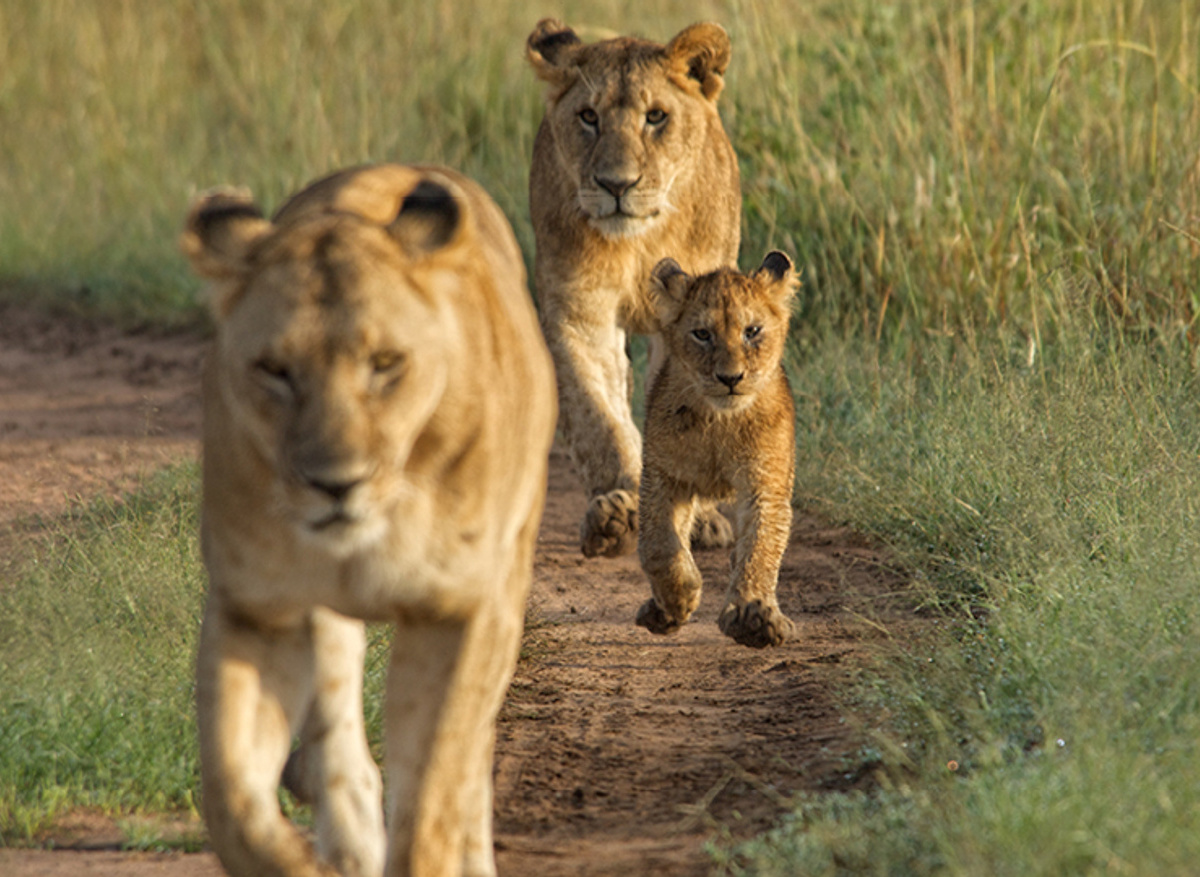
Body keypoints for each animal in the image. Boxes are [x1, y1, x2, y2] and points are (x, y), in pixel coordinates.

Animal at [180, 163, 556, 877]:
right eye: (275, 370)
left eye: (385, 365)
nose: (336, 483)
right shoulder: (257, 607)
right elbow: (231, 795)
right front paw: (300, 862)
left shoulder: (462, 609)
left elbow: (434, 789)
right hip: (323, 618)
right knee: (336, 730)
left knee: (469, 762)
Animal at [526, 18, 742, 558]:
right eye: (588, 117)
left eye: (656, 117)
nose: (616, 185)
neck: (639, 243)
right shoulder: (579, 315)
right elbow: (598, 417)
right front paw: (617, 514)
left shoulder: (692, 326)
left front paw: (689, 519)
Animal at [634, 252, 799, 648]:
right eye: (702, 334)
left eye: (752, 331)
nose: (730, 378)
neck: (718, 422)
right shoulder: (664, 474)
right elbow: (658, 545)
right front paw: (678, 599)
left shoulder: (765, 483)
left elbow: (761, 546)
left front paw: (752, 616)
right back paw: (657, 612)